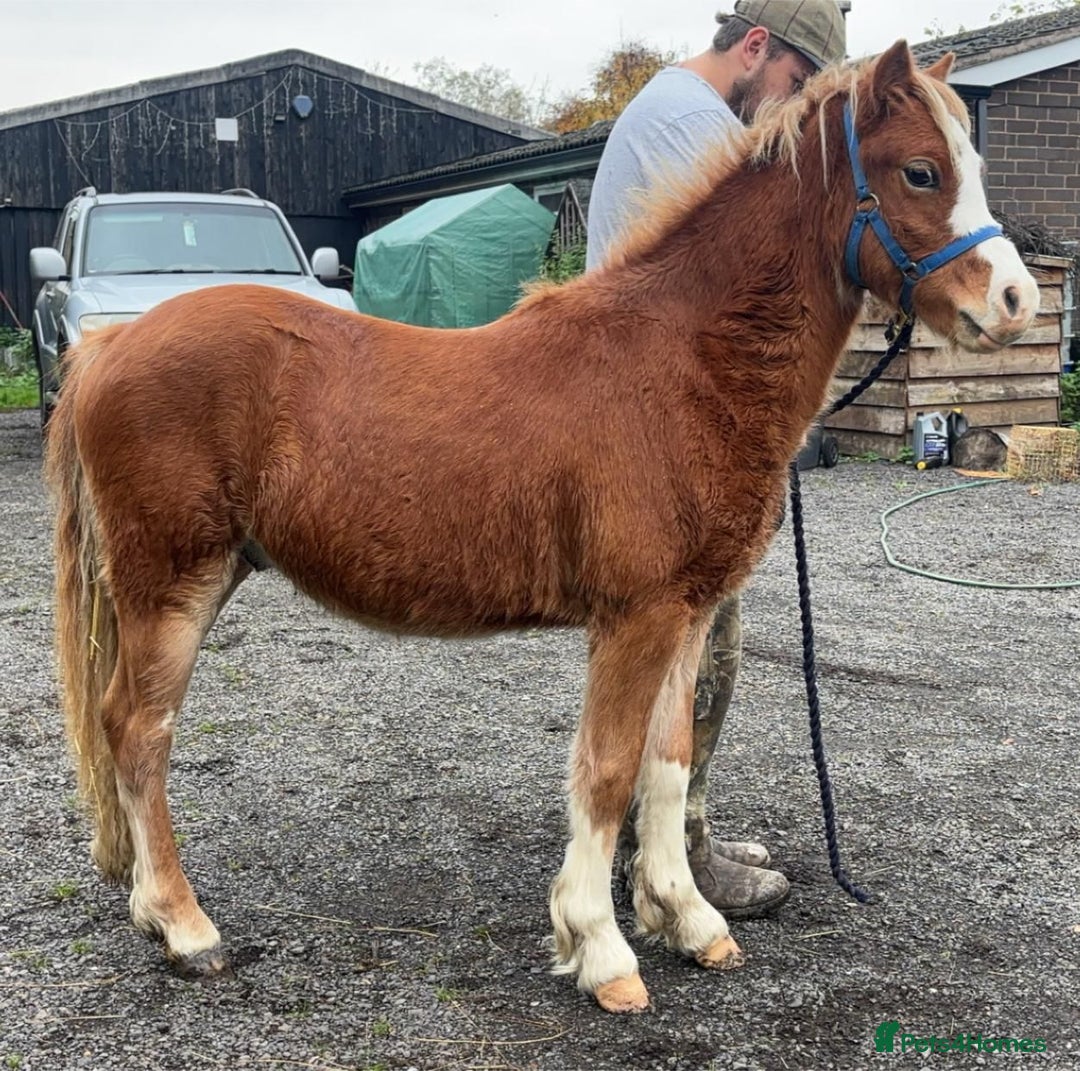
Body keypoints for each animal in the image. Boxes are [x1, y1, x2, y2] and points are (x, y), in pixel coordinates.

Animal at [46, 41, 1038, 1014]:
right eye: (921, 170)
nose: (1018, 302)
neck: (683, 361)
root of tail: (105, 347)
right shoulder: (635, 619)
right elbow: (605, 771)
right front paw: (601, 949)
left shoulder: (685, 615)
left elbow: (668, 762)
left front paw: (687, 917)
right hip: (172, 583)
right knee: (139, 729)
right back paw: (186, 928)